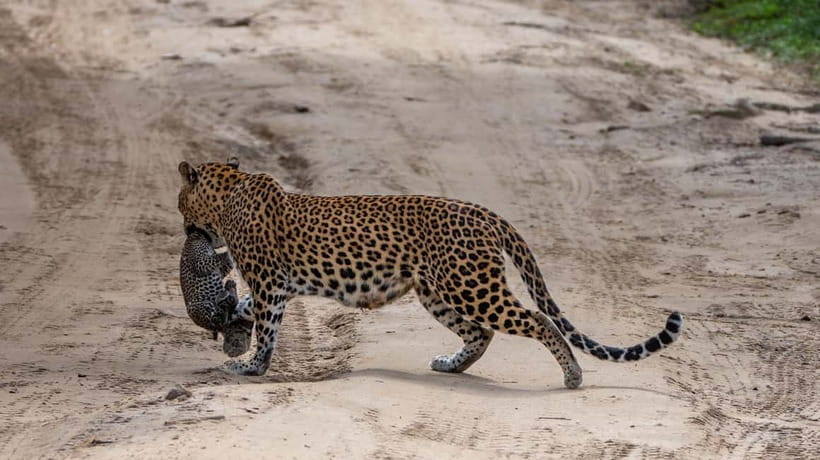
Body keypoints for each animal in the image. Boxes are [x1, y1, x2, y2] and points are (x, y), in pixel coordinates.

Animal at [179, 226, 253, 357]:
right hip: (200, 307)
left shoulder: (219, 268)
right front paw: (229, 251)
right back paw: (227, 293)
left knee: (226, 317)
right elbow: (217, 257)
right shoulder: (200, 263)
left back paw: (229, 291)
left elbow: (224, 264)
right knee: (222, 318)